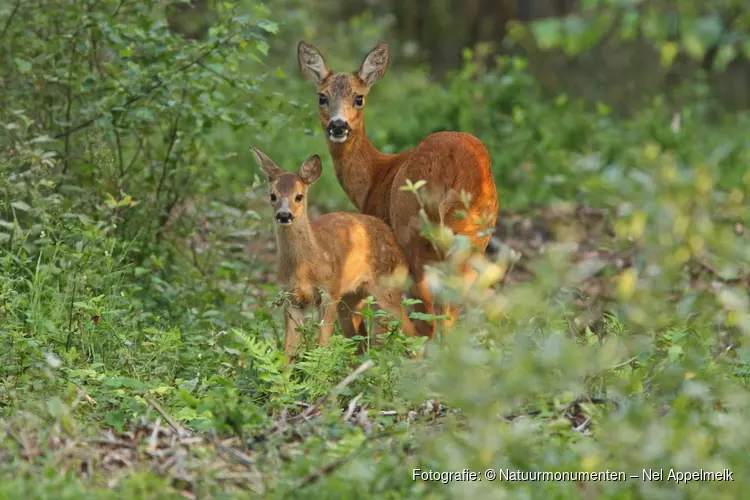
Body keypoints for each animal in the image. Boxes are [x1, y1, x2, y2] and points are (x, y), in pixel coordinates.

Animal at [251, 145, 418, 360]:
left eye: (299, 196)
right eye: (272, 195)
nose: (284, 215)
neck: (304, 267)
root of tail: (394, 238)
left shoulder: (330, 291)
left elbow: (322, 345)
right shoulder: (290, 298)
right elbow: (288, 352)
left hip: (388, 288)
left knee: (412, 333)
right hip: (351, 299)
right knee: (360, 343)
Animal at [298, 38, 500, 336]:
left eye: (359, 98)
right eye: (322, 97)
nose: (338, 125)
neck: (375, 176)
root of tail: (455, 166)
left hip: (413, 231)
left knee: (429, 318)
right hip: (475, 235)